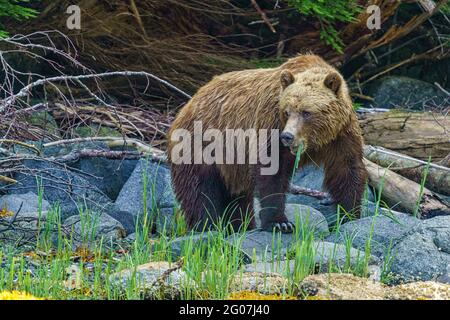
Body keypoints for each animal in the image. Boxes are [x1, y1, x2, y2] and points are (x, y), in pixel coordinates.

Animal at [167, 52, 368, 232]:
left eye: (306, 112)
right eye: (287, 111)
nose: (287, 136)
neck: (315, 140)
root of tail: (187, 104)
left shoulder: (341, 134)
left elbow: (346, 168)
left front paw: (350, 214)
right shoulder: (270, 124)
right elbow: (272, 170)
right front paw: (280, 223)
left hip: (231, 165)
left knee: (238, 198)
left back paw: (240, 226)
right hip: (201, 145)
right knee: (200, 191)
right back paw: (206, 226)